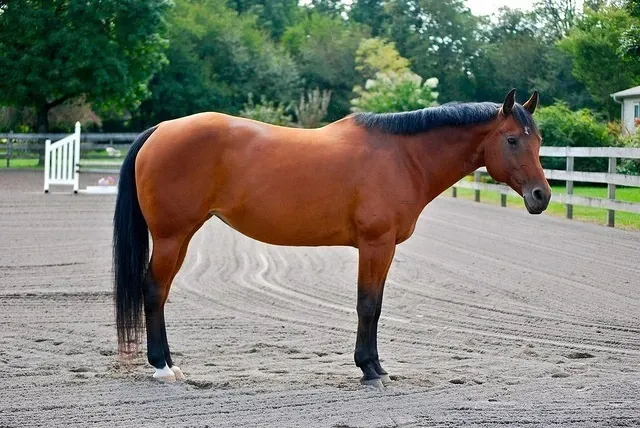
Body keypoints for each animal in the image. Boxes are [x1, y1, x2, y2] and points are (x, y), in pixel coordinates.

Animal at [113, 89, 551, 387]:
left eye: (539, 141)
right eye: (512, 139)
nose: (541, 196)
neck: (402, 157)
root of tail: (161, 130)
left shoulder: (380, 249)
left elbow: (374, 306)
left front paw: (375, 366)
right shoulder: (376, 245)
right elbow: (368, 306)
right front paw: (370, 369)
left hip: (181, 236)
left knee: (160, 291)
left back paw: (169, 362)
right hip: (171, 236)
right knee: (154, 290)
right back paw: (162, 367)